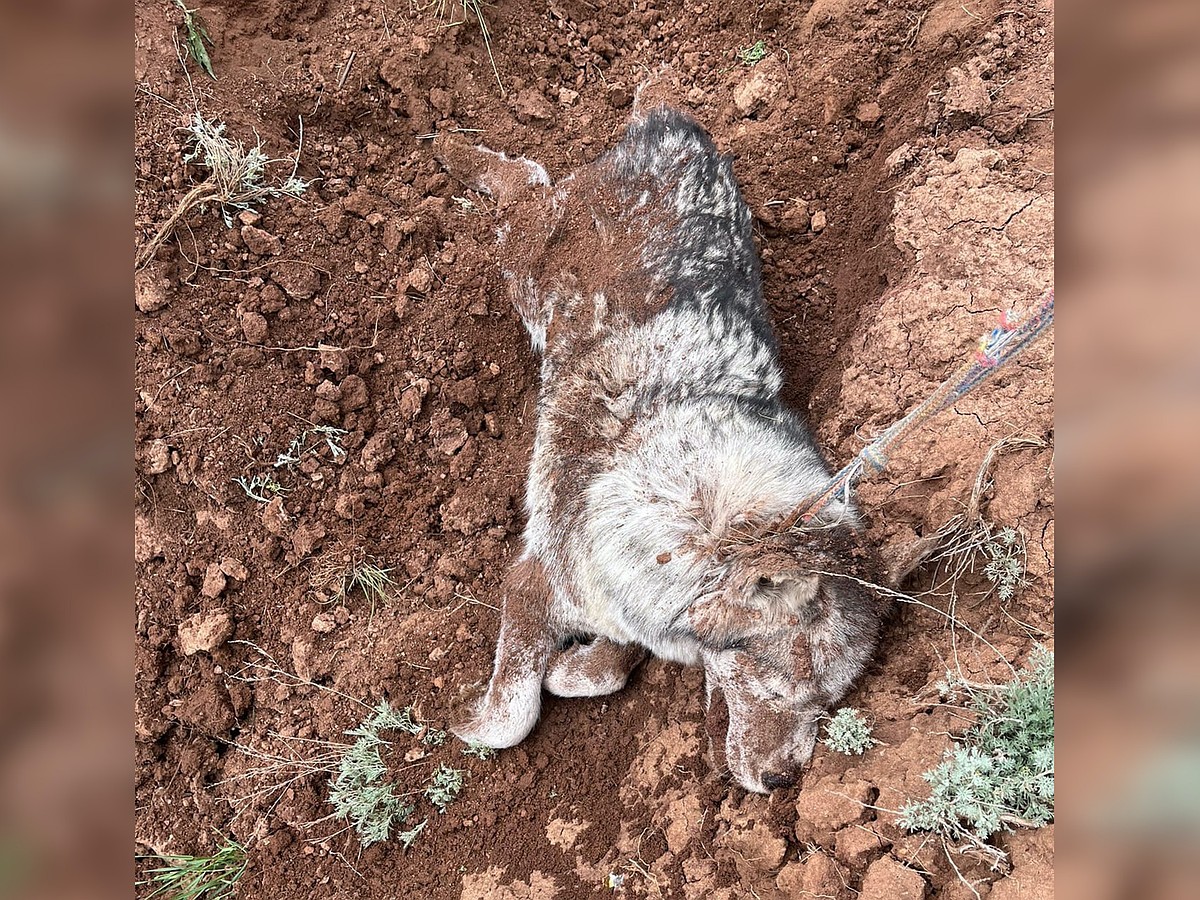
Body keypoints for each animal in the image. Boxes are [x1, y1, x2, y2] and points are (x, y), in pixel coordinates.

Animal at [436, 107, 888, 796]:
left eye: (829, 703)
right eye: (772, 691)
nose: (784, 781)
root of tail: (672, 125)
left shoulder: (627, 609)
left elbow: (608, 666)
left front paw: (576, 667)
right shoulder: (534, 579)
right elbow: (512, 714)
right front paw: (475, 722)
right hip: (524, 264)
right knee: (524, 182)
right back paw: (450, 149)